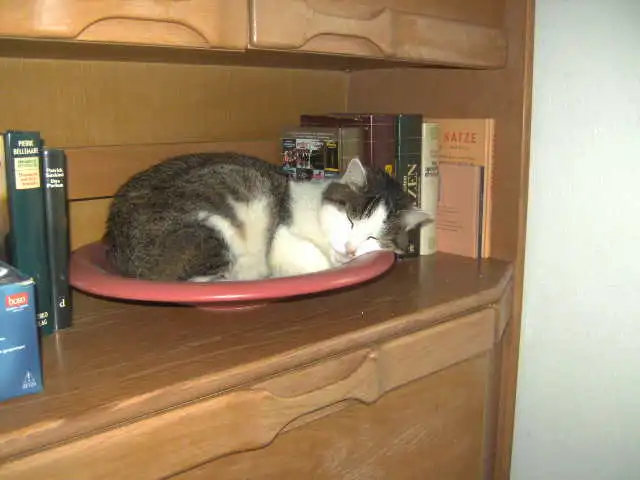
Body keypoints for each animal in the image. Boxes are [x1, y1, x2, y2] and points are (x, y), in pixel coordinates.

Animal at [104, 152, 431, 282]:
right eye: (350, 219)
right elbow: (315, 262)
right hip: (214, 228)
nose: (350, 250)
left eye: (373, 238)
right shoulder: (282, 238)